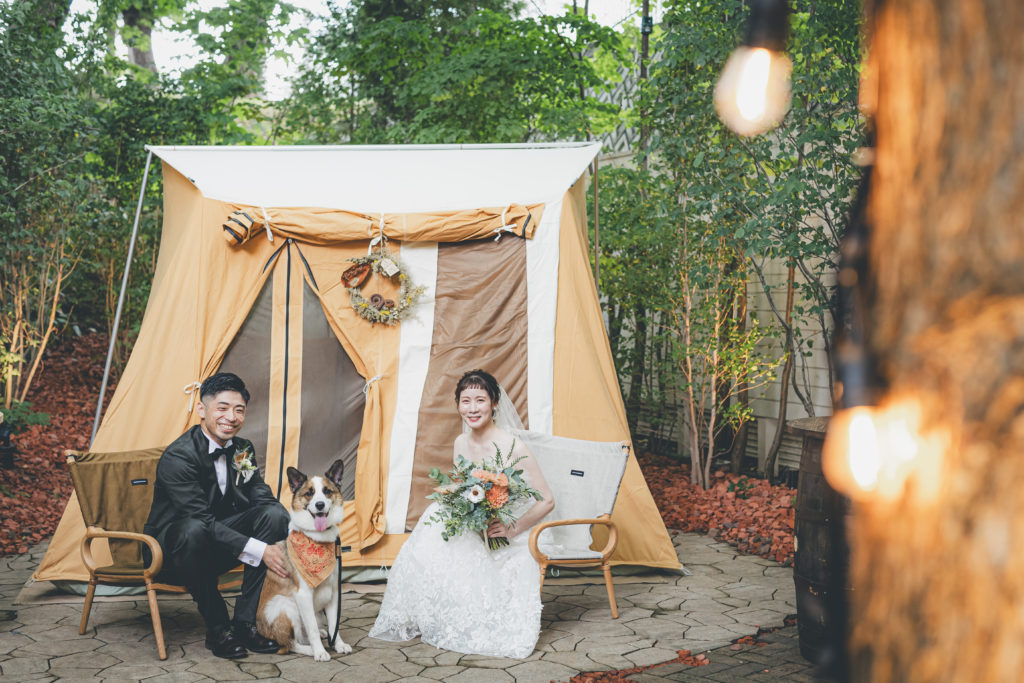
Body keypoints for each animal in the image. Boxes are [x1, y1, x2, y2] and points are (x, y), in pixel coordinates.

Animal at [256, 458, 352, 663]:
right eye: (309, 493)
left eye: (327, 491)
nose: (320, 505)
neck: (317, 538)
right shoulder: (303, 595)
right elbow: (312, 628)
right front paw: (320, 652)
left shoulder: (334, 592)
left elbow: (334, 624)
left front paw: (338, 644)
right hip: (285, 605)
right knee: (290, 644)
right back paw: (310, 649)